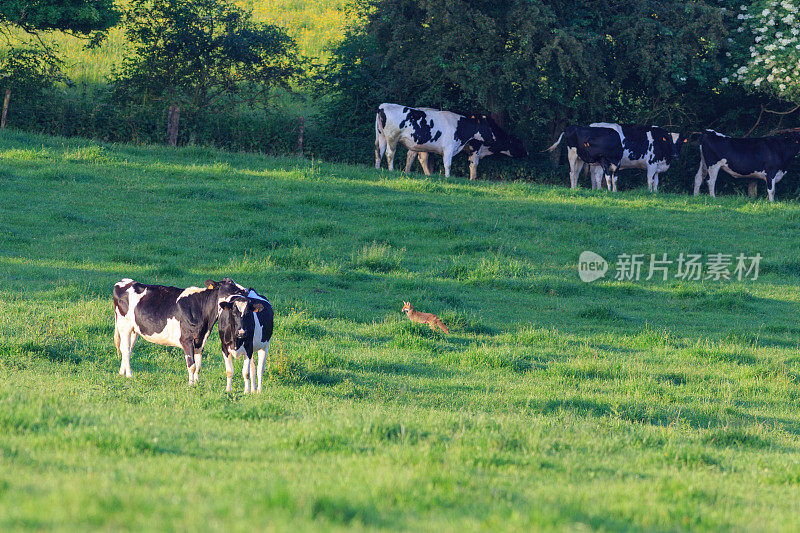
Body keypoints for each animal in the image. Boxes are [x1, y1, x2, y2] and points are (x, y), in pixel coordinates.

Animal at [111, 278, 245, 382]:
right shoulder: (186, 339)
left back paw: (122, 372)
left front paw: (197, 383)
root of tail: (123, 282)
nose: (245, 290)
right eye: (232, 286)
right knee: (125, 349)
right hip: (124, 325)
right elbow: (191, 365)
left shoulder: (201, 340)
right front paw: (191, 385)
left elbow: (198, 365)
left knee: (128, 349)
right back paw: (129, 375)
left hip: (134, 329)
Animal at [374, 102, 524, 181]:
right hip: (392, 138)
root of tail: (384, 106)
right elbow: (450, 164)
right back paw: (391, 170)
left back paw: (378, 168)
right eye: (487, 127)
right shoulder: (450, 148)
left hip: (381, 137)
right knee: (389, 153)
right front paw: (448, 177)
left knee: (379, 152)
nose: (493, 138)